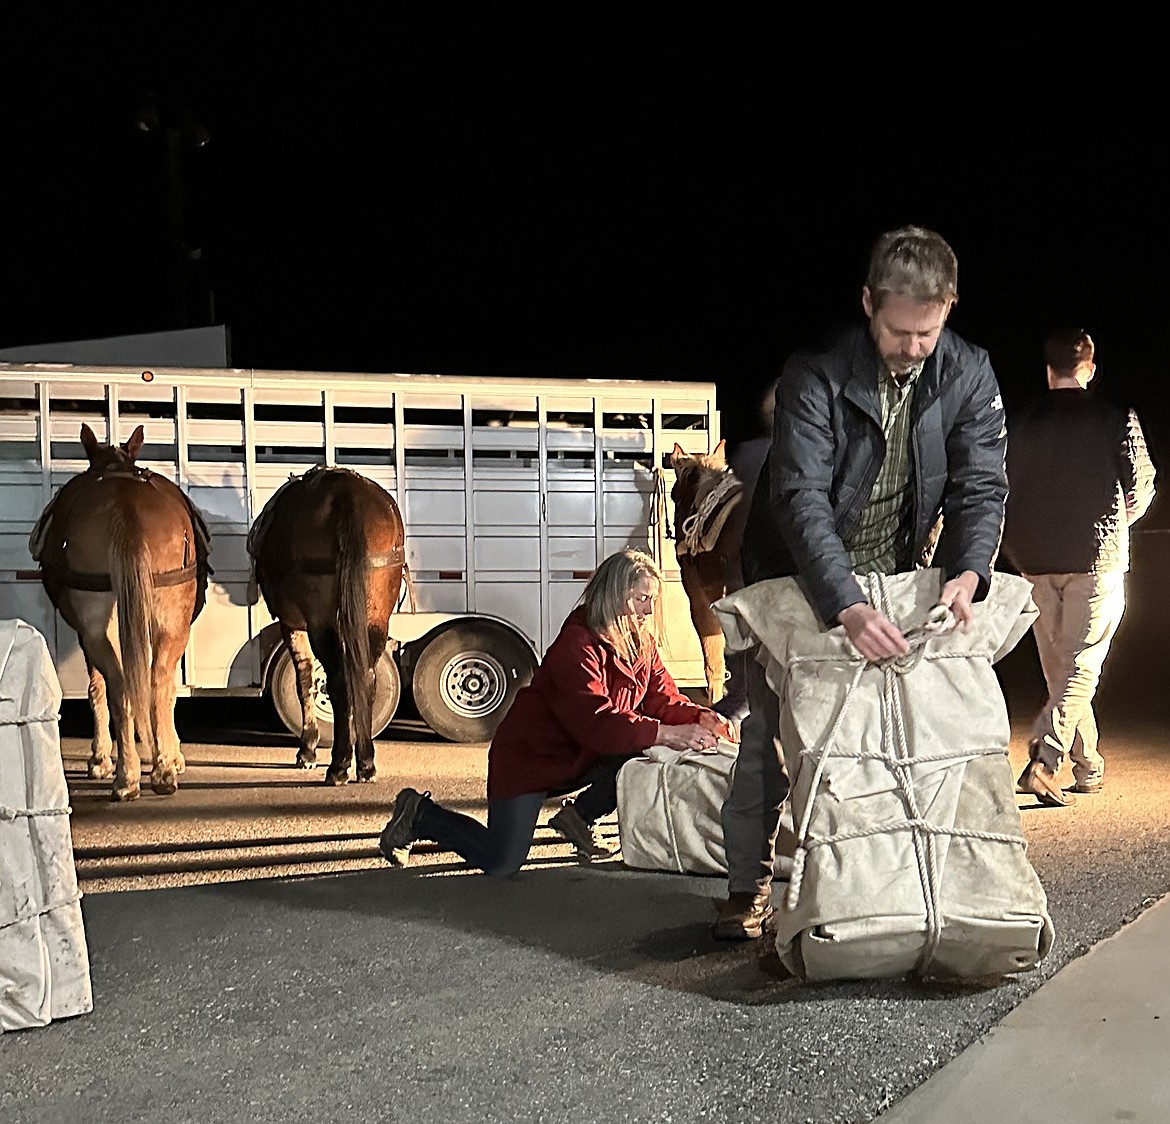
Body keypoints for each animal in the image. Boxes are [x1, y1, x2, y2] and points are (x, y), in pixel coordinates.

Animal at [32, 421, 210, 800]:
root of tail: (125, 509)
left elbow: (96, 688)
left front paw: (100, 759)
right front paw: (170, 755)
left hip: (96, 628)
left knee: (119, 685)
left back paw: (127, 774)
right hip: (171, 621)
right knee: (156, 683)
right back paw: (158, 771)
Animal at [248, 463, 407, 781]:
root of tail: (347, 494)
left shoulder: (293, 624)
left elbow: (305, 680)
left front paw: (307, 749)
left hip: (321, 622)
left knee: (338, 681)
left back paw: (339, 764)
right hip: (375, 617)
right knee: (365, 677)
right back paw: (365, 761)